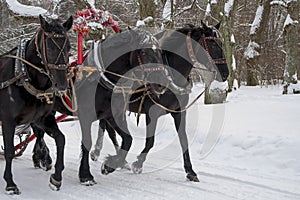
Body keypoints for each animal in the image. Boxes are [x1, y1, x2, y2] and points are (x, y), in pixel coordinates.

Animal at [0, 15, 72, 194]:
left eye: (68, 47)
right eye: (50, 47)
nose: (62, 85)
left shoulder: (42, 119)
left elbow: (60, 139)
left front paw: (56, 178)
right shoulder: (8, 120)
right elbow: (10, 151)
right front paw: (10, 184)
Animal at [31, 28, 170, 185]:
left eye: (160, 53)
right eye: (144, 52)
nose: (161, 84)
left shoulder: (113, 115)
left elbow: (128, 139)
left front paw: (110, 165)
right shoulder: (85, 116)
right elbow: (87, 143)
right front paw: (85, 175)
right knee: (38, 131)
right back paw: (43, 157)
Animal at [90, 21, 229, 181]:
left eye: (221, 43)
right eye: (212, 44)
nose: (225, 73)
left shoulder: (179, 112)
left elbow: (183, 140)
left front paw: (190, 171)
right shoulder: (152, 113)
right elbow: (150, 141)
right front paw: (138, 164)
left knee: (105, 126)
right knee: (108, 129)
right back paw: (105, 154)